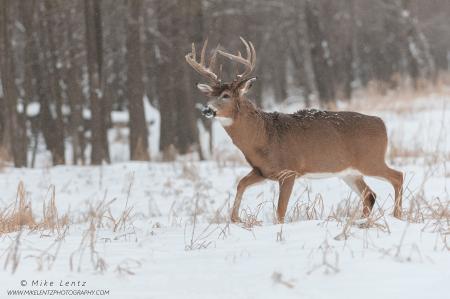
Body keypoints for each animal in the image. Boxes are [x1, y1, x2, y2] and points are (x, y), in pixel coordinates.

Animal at [185, 37, 402, 224]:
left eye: (226, 95)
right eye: (210, 95)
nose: (206, 110)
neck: (263, 136)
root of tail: (382, 124)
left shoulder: (289, 171)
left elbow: (280, 211)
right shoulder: (262, 170)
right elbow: (240, 184)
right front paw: (238, 220)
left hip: (371, 160)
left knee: (397, 176)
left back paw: (397, 215)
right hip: (348, 172)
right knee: (369, 195)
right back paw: (362, 221)